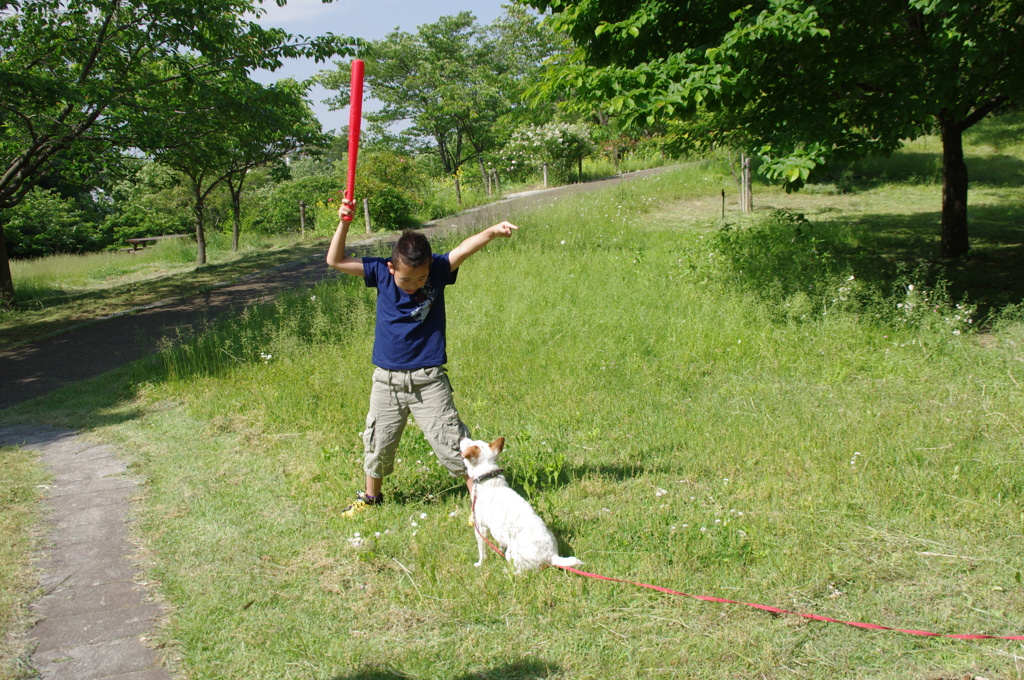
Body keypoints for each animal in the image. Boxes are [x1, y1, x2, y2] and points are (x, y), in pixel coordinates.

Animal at [460, 436, 581, 573]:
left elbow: (482, 551)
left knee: (524, 573)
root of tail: (552, 556)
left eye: (468, 443)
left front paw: (480, 564)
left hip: (511, 554)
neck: (487, 477)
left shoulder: (480, 527)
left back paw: (508, 572)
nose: (462, 437)